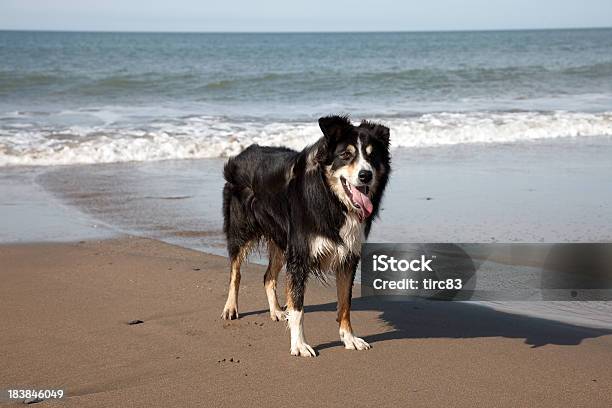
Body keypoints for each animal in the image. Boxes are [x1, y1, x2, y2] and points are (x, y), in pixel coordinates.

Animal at [222, 115, 390, 356]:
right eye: (346, 155)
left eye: (372, 155)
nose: (366, 175)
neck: (330, 197)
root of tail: (242, 154)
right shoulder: (300, 255)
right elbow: (298, 307)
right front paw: (299, 345)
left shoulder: (348, 255)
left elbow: (345, 304)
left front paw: (349, 338)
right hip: (241, 230)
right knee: (235, 273)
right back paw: (230, 308)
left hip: (281, 240)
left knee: (268, 276)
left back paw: (276, 311)